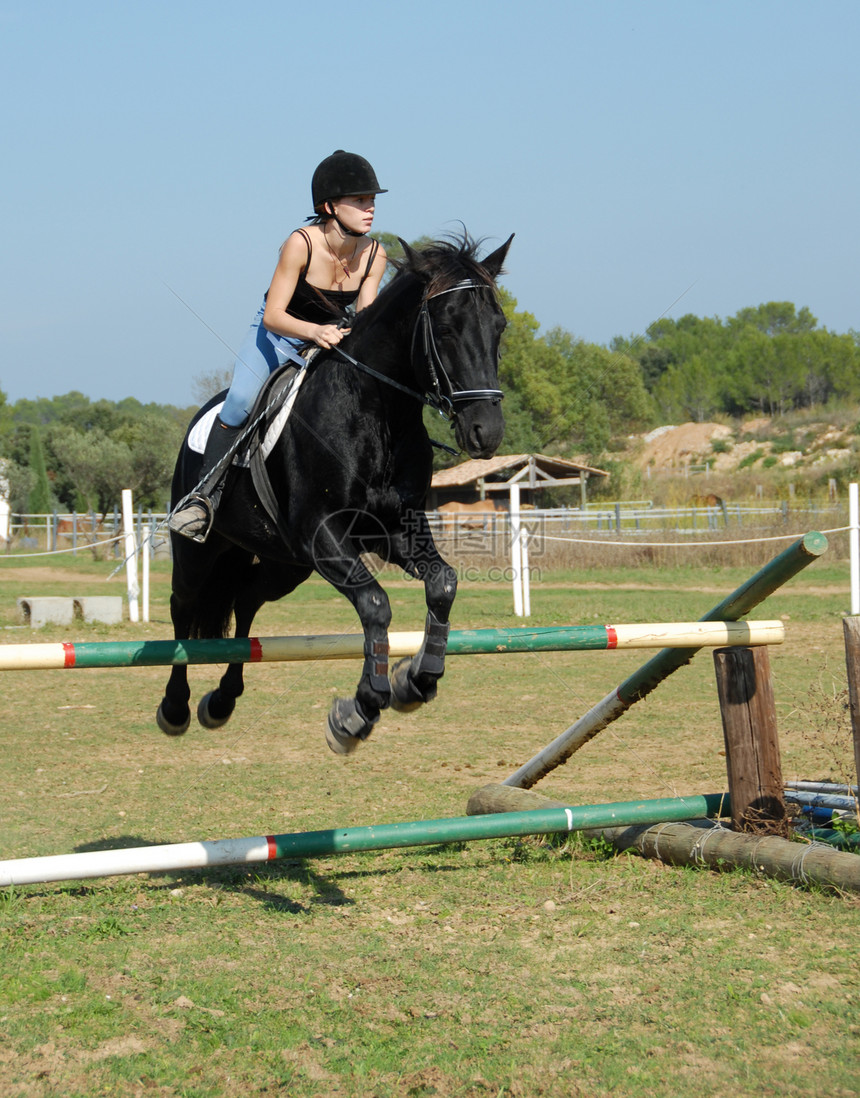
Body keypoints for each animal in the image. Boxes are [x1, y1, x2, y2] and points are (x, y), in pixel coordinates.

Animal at [155, 231, 511, 755]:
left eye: (498, 327)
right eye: (446, 328)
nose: (486, 432)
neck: (378, 411)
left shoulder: (394, 531)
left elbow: (442, 583)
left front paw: (416, 680)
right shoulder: (323, 534)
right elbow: (376, 604)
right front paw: (359, 710)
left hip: (286, 565)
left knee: (246, 600)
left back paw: (222, 701)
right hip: (202, 551)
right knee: (183, 609)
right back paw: (176, 708)